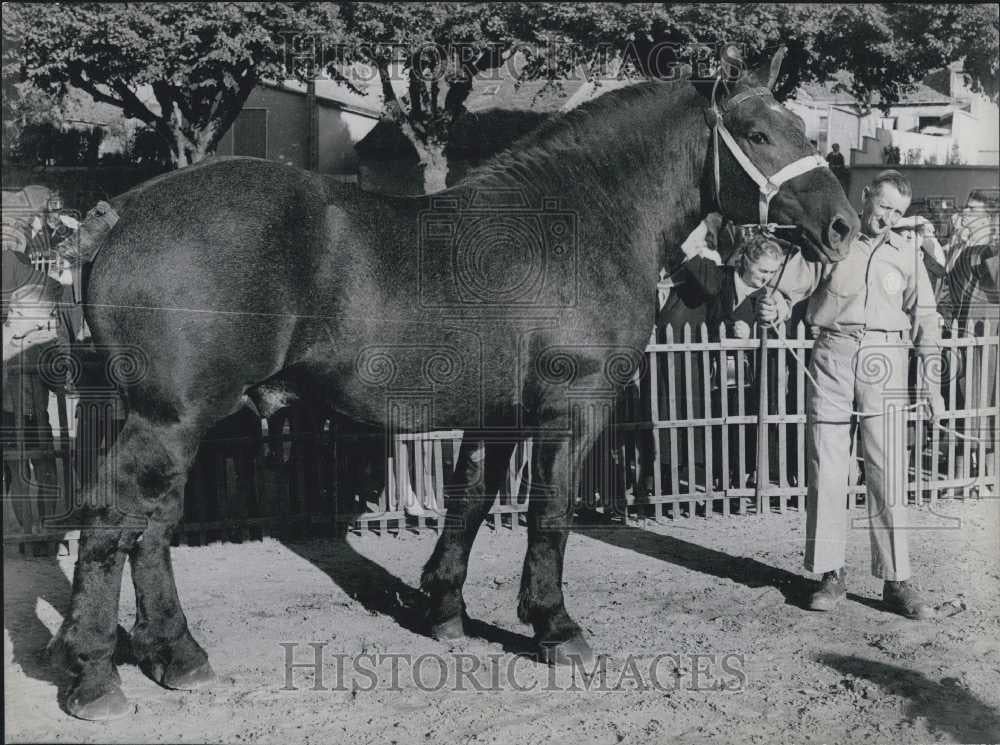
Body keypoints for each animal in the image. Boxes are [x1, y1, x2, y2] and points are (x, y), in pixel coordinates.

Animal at [50, 50, 856, 716]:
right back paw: (95, 676)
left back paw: (176, 655)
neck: (580, 218)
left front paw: (443, 611)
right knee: (113, 517)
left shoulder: (497, 413)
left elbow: (468, 501)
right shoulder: (571, 406)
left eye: (801, 125)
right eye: (757, 133)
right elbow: (549, 515)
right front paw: (554, 626)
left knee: (151, 525)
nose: (844, 226)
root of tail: (120, 213)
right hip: (170, 416)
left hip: (170, 421)